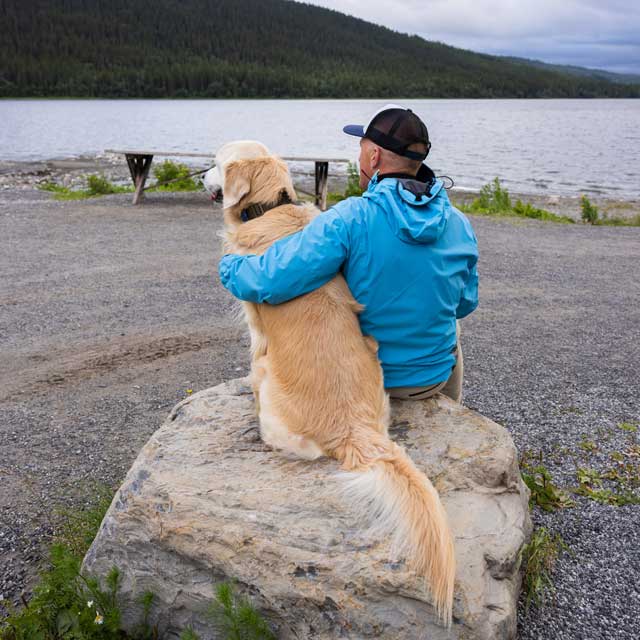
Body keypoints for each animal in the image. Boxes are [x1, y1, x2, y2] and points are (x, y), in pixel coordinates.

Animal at [210, 140, 456, 624]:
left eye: (215, 162)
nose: (201, 177)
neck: (269, 208)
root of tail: (355, 430)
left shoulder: (254, 324)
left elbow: (252, 352)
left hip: (274, 389)